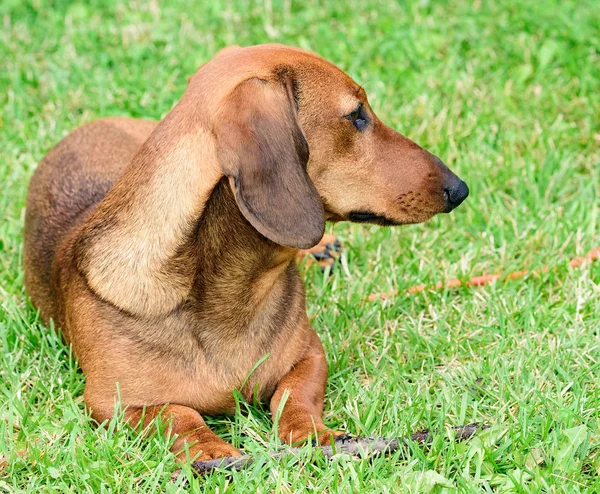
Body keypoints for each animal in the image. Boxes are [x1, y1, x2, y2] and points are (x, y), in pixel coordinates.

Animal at [23, 44, 468, 462]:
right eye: (356, 115)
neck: (233, 289)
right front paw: (209, 450)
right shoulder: (111, 403)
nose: (459, 188)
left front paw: (314, 435)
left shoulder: (309, 355)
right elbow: (177, 415)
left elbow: (294, 396)